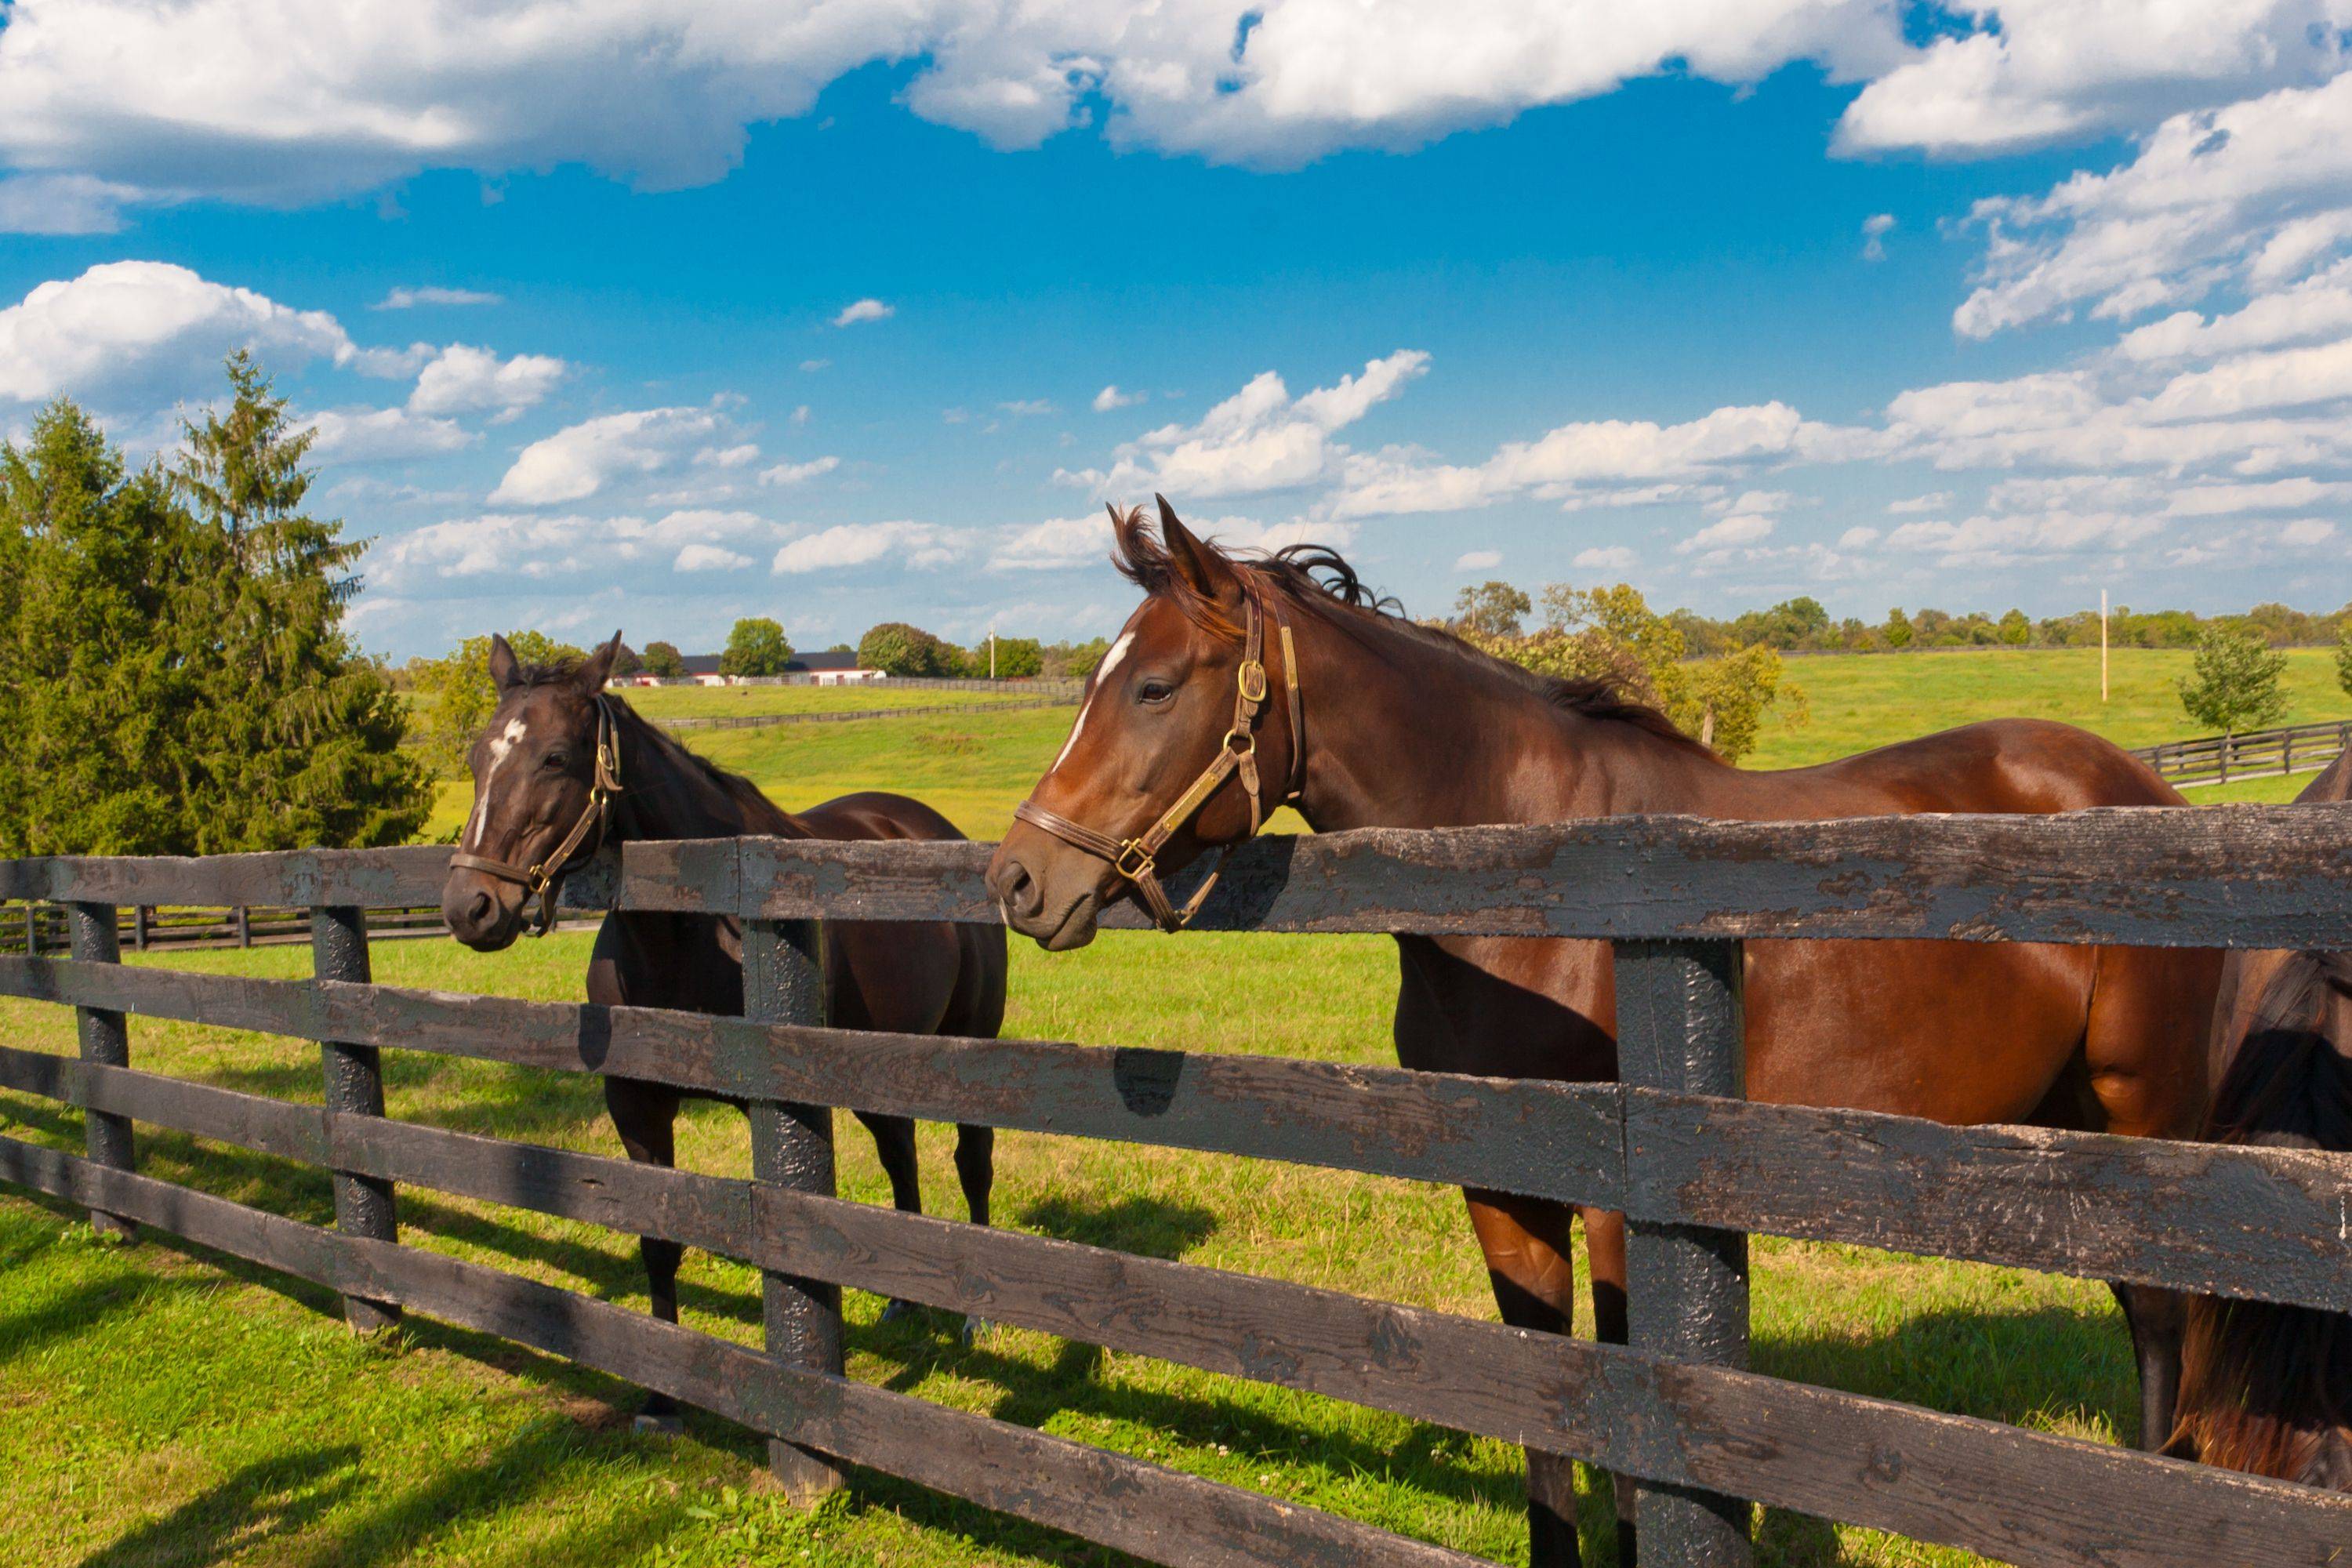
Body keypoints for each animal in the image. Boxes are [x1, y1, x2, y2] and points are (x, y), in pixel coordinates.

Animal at [442, 630, 1011, 1429]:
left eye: (554, 757)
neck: (693, 925)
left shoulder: (779, 1104)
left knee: (972, 1159)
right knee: (900, 1153)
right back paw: (905, 1304)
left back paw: (975, 1317)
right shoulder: (637, 1106)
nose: (470, 906)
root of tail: (929, 829)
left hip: (971, 1046)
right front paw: (660, 1397)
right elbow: (658, 1240)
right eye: (476, 758)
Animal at [988, 503, 2220, 1568]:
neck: (1536, 877)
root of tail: (2139, 785)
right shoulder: (1502, 1187)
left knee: (2173, 1316)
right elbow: (1546, 1401)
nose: (1019, 877)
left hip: (2146, 1116)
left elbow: (1628, 1416)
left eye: (1154, 686)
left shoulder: (1626, 1202)